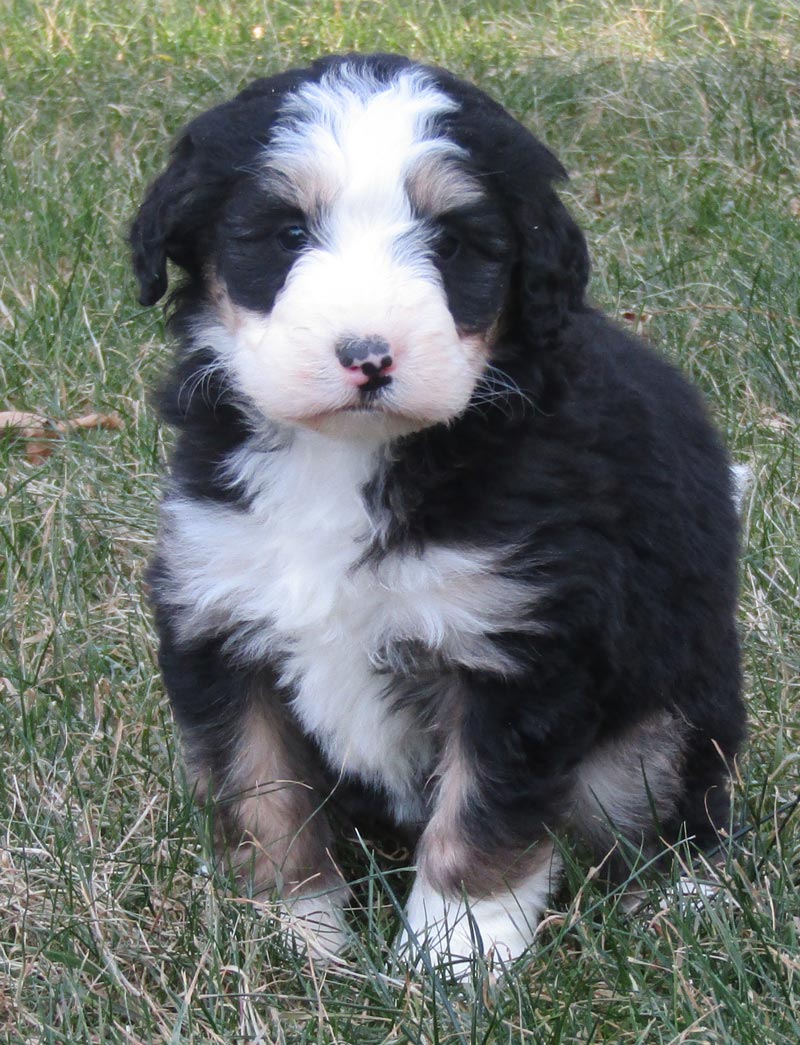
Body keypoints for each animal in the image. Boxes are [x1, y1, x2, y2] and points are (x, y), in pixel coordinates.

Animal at [128, 55, 747, 969]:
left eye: (451, 243)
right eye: (287, 234)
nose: (367, 356)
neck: (348, 459)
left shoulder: (515, 645)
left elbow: (481, 816)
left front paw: (455, 955)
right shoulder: (222, 614)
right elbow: (264, 796)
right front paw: (288, 939)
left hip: (659, 730)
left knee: (683, 813)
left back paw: (687, 904)